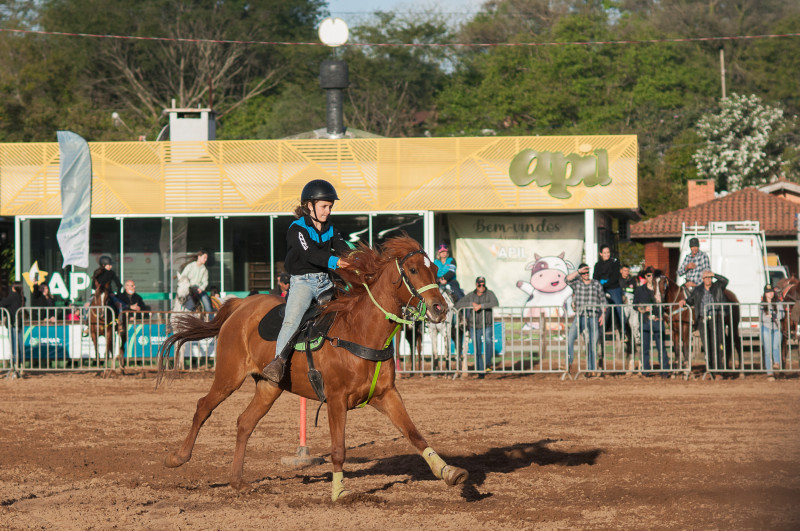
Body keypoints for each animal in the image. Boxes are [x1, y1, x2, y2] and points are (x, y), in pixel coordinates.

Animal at [155, 236, 468, 500]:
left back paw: (237, 481)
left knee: (244, 422)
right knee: (203, 406)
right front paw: (339, 492)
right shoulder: (337, 400)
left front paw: (449, 472)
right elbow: (338, 450)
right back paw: (176, 458)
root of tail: (241, 306)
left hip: (268, 386)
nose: (440, 309)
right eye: (413, 270)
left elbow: (415, 434)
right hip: (228, 376)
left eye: (434, 269)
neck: (359, 330)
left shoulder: (386, 395)